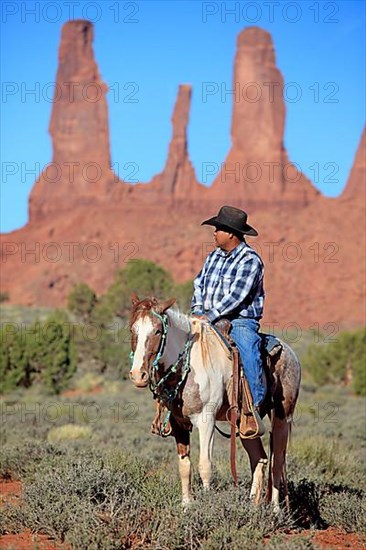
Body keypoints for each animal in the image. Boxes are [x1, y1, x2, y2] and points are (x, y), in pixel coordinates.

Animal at [130, 296, 302, 512]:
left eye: (157, 331)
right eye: (133, 330)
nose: (138, 375)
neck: (188, 367)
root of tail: (290, 352)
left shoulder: (206, 422)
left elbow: (205, 465)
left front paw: (206, 505)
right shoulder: (179, 424)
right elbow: (185, 466)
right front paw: (186, 506)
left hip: (282, 417)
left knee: (277, 460)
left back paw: (275, 509)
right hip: (246, 425)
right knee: (259, 458)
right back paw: (252, 506)